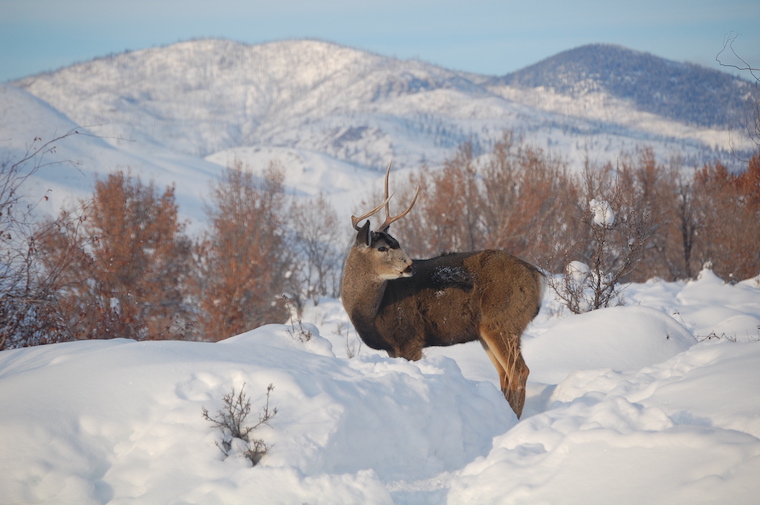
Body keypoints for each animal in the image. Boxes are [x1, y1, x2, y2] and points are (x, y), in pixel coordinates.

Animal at [341, 162, 545, 418]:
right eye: (382, 247)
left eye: (397, 242)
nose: (410, 265)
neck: (371, 311)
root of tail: (537, 277)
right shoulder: (392, 348)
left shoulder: (410, 339)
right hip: (486, 331)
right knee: (504, 375)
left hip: (503, 321)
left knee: (519, 372)